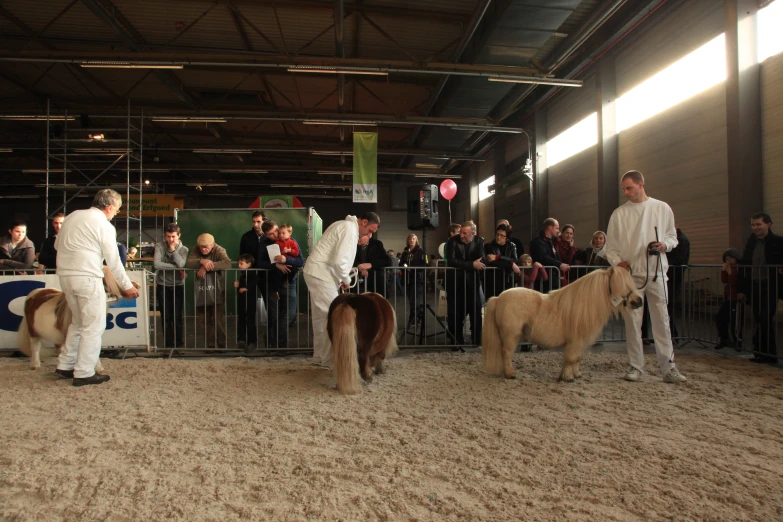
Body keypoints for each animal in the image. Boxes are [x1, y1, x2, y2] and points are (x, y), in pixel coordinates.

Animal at [484, 266, 644, 380]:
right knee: (506, 352)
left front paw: (577, 375)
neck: (585, 304)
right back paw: (510, 374)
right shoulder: (575, 341)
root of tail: (498, 298)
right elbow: (571, 359)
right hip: (511, 335)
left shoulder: (581, 343)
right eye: (623, 286)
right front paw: (567, 377)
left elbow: (578, 358)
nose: (639, 301)